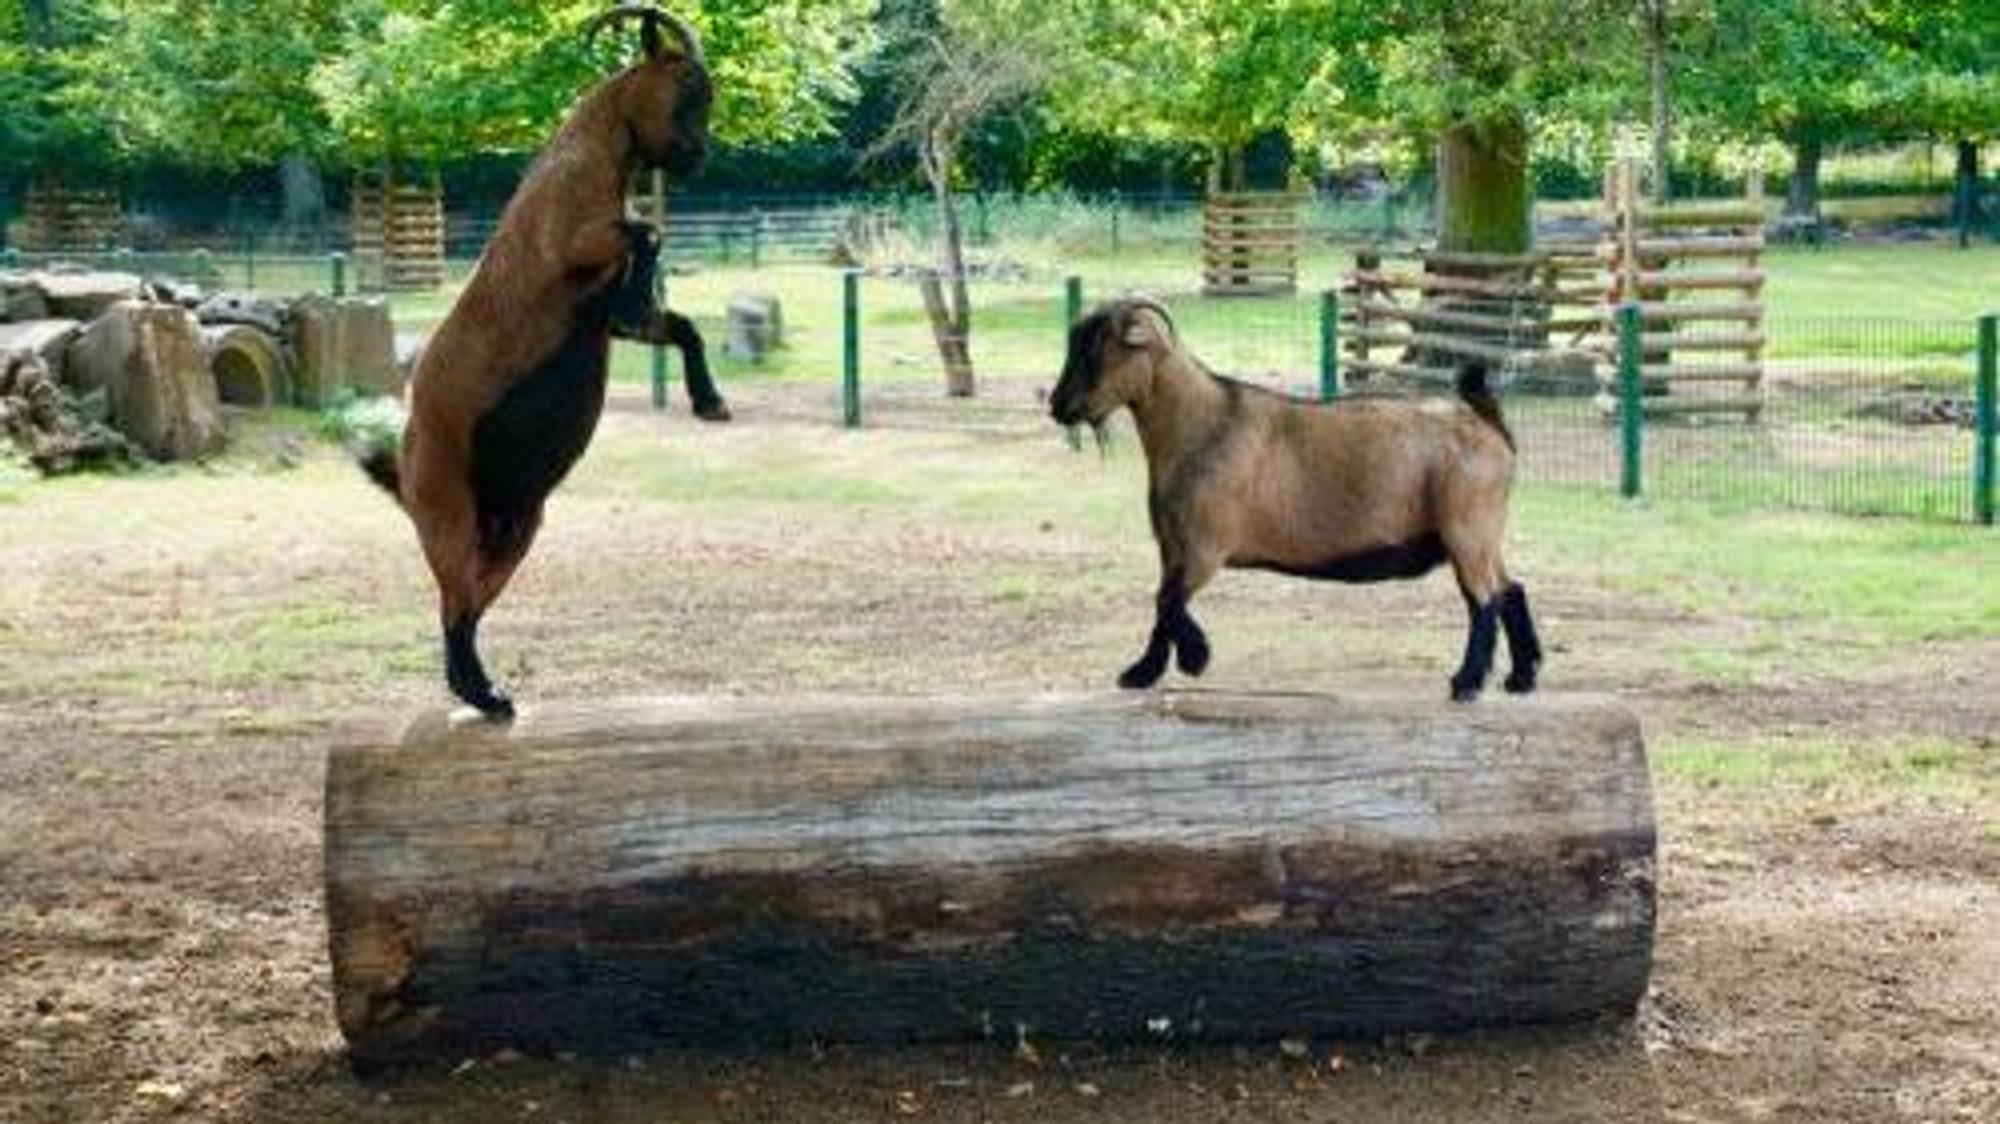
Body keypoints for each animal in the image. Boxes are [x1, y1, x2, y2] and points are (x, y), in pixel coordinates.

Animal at [359, 4, 725, 719]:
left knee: (469, 610)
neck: (589, 158)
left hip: (517, 528)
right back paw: (486, 695)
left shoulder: (606, 304)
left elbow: (677, 325)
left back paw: (485, 692)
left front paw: (710, 401)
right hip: (449, 513)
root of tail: (403, 470)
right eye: (686, 89)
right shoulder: (569, 247)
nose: (699, 156)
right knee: (453, 607)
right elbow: (646, 231)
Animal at [1048, 297, 1542, 701]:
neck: (1201, 424)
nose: (1057, 406)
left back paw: (1467, 683)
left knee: (1483, 600)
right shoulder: (1173, 547)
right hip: (1483, 535)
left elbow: (1166, 601)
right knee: (1510, 589)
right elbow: (1165, 603)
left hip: (1467, 526)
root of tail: (1488, 425)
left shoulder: (1205, 546)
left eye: (1095, 351)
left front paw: (1186, 661)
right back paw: (1521, 677)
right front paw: (1150, 670)